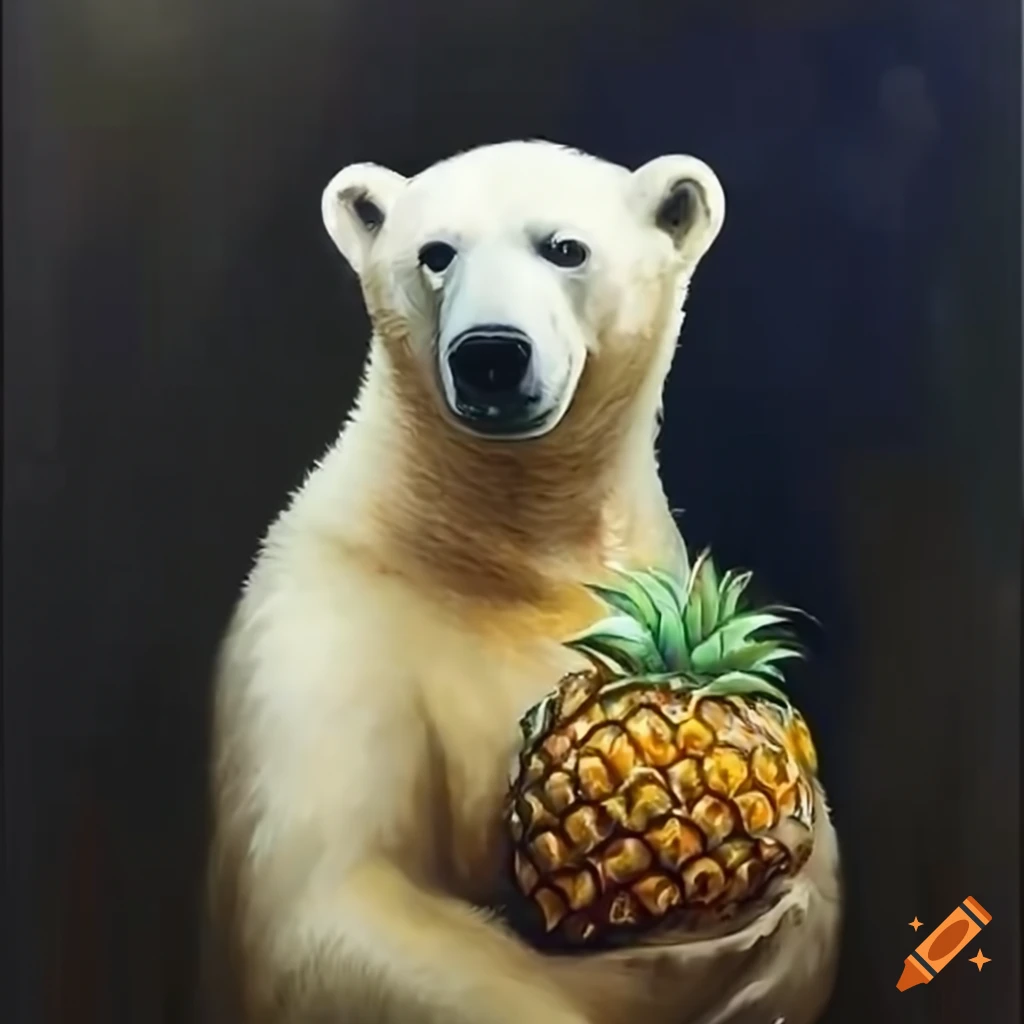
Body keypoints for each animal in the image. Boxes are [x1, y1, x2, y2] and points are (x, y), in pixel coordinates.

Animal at [206, 140, 841, 1024]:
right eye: (436, 252)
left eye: (564, 248)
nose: (491, 354)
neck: (505, 545)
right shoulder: (325, 629)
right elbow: (335, 907)